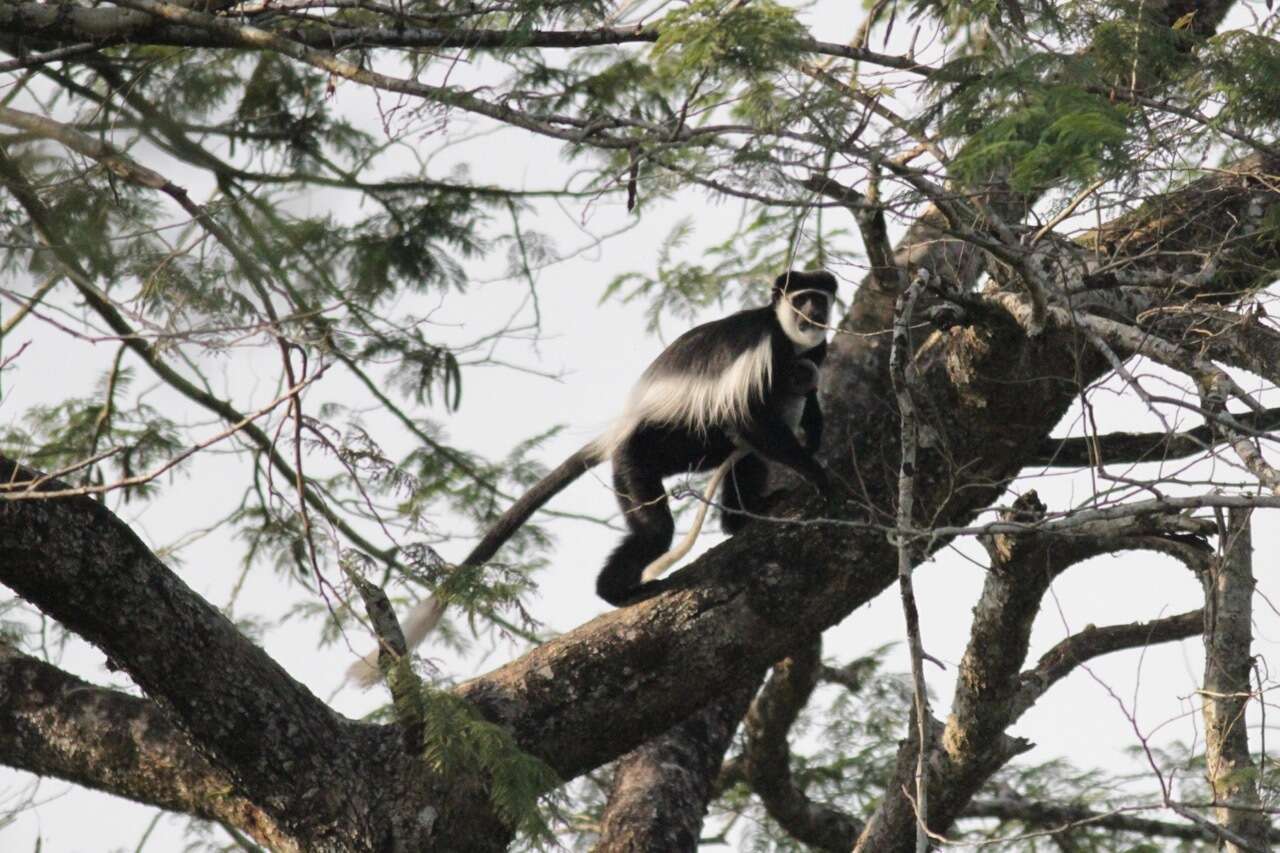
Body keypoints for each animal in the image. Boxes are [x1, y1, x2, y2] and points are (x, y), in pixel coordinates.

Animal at [348, 272, 839, 686]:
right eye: (802, 299)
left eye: (822, 298)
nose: (815, 312)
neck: (790, 340)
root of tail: (618, 431)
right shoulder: (765, 350)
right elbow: (751, 416)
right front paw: (818, 472)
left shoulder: (814, 354)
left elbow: (792, 404)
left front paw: (815, 429)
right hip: (637, 459)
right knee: (658, 525)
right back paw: (617, 593)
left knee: (743, 454)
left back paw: (743, 517)